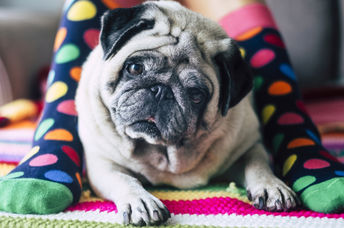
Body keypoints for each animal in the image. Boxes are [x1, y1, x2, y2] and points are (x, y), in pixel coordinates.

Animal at [75, 0, 298, 226]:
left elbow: (258, 163)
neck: (162, 153)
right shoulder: (103, 164)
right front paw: (141, 201)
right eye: (135, 68)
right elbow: (124, 179)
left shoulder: (248, 146)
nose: (161, 90)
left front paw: (271, 186)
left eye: (196, 95)